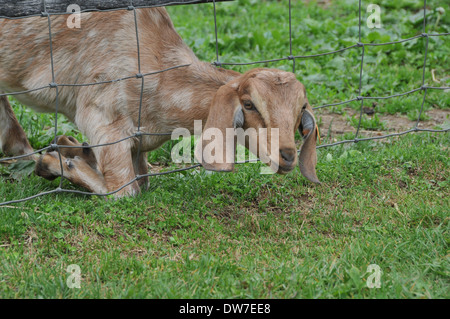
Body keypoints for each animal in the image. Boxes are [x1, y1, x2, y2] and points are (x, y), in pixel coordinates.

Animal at [0, 7, 320, 196]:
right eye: (249, 104)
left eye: (300, 110)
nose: (287, 156)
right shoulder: (104, 122)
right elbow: (125, 191)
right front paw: (59, 161)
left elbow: (142, 181)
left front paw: (69, 150)